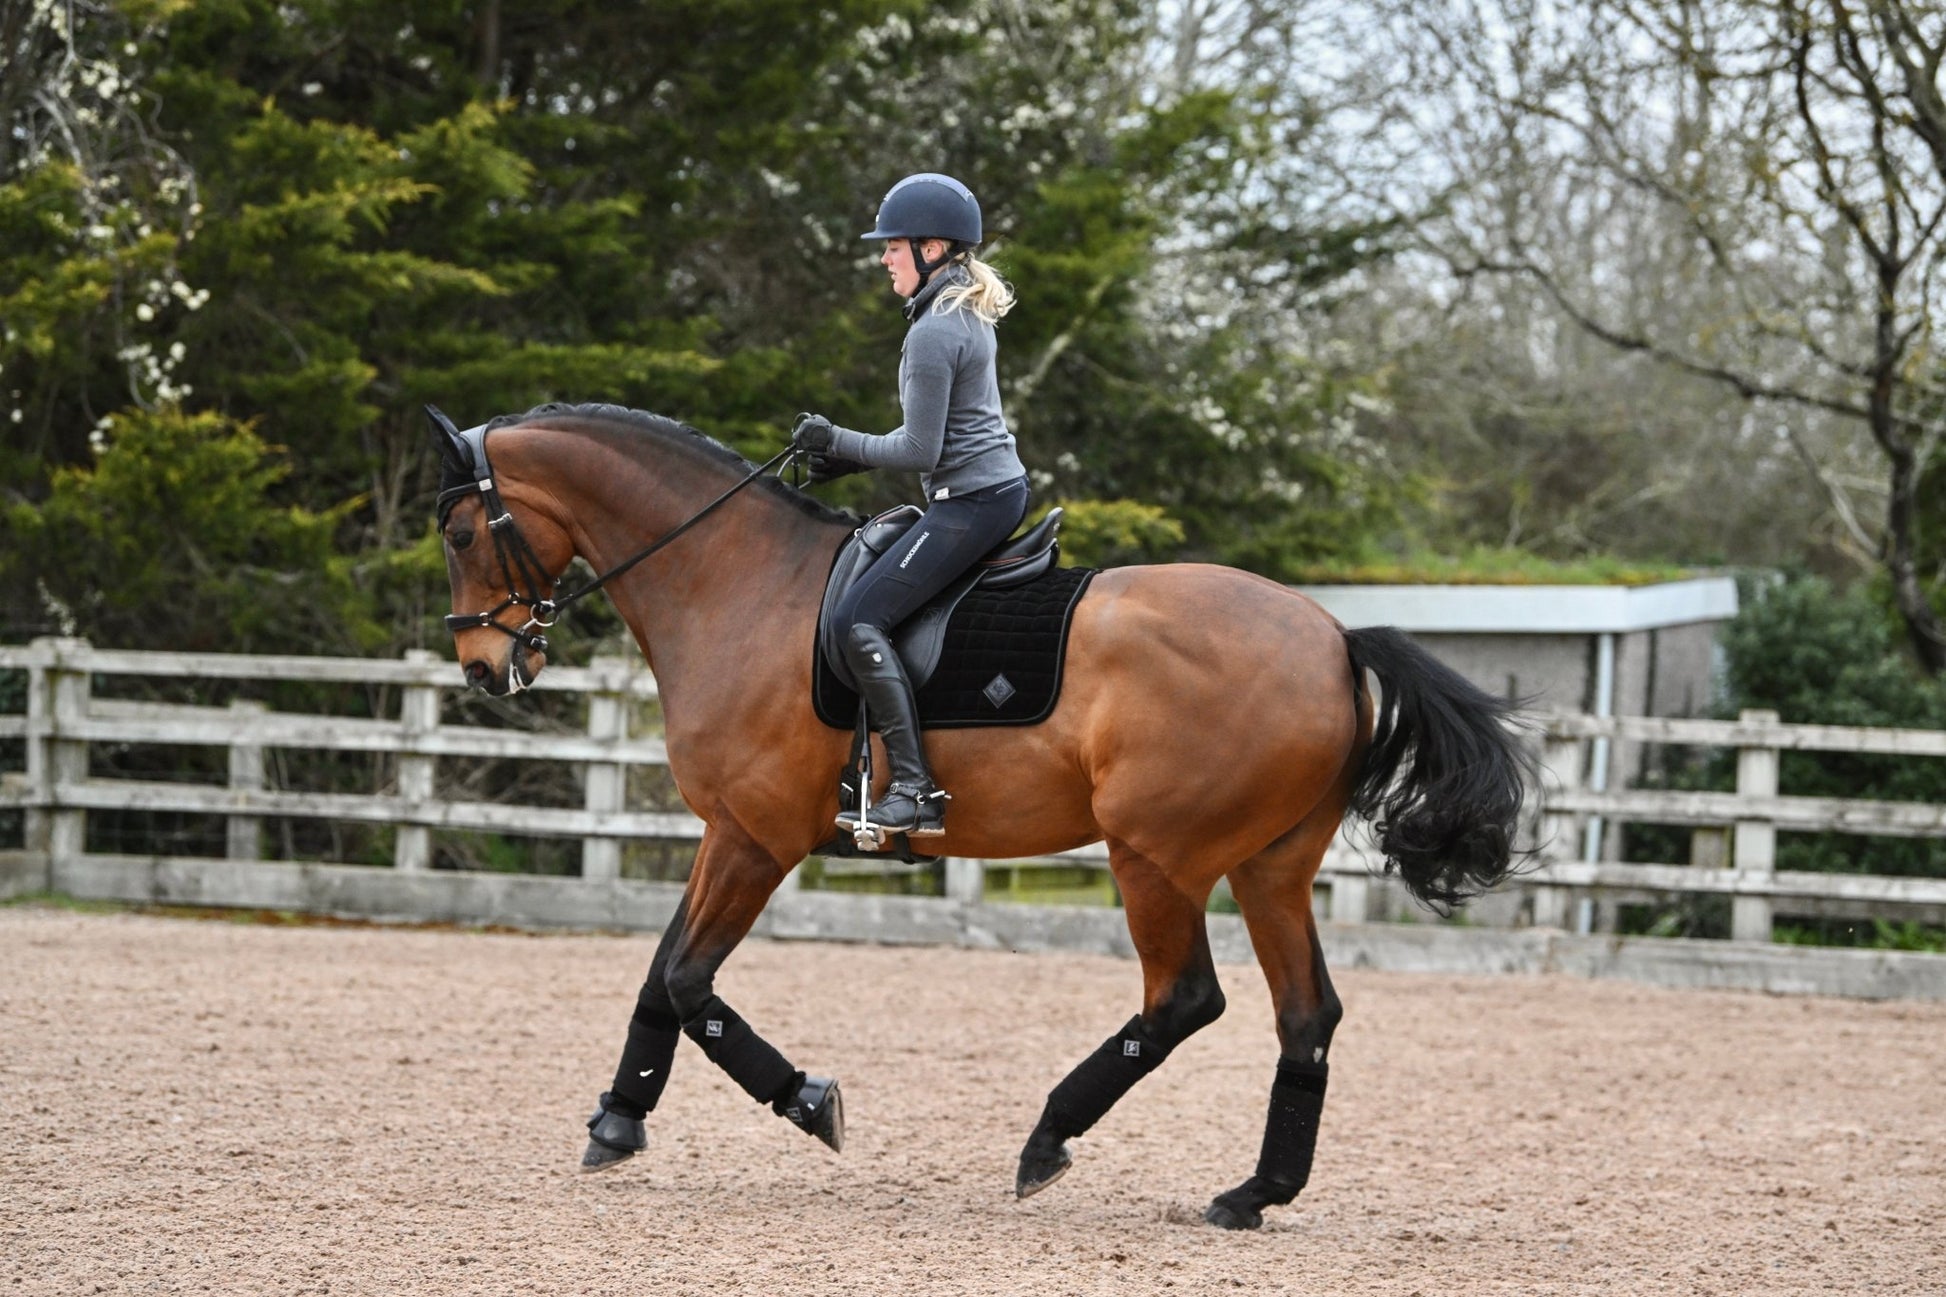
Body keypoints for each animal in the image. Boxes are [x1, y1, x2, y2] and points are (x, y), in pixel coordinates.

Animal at [430, 399, 1533, 1230]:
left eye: (459, 532)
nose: (484, 668)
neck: (737, 583)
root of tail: (1334, 639)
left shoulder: (756, 838)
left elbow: (690, 978)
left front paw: (809, 1102)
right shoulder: (724, 835)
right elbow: (662, 975)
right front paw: (618, 1119)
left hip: (1155, 857)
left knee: (1182, 1000)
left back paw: (1048, 1139)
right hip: (1268, 867)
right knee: (1304, 1016)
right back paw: (1253, 1192)